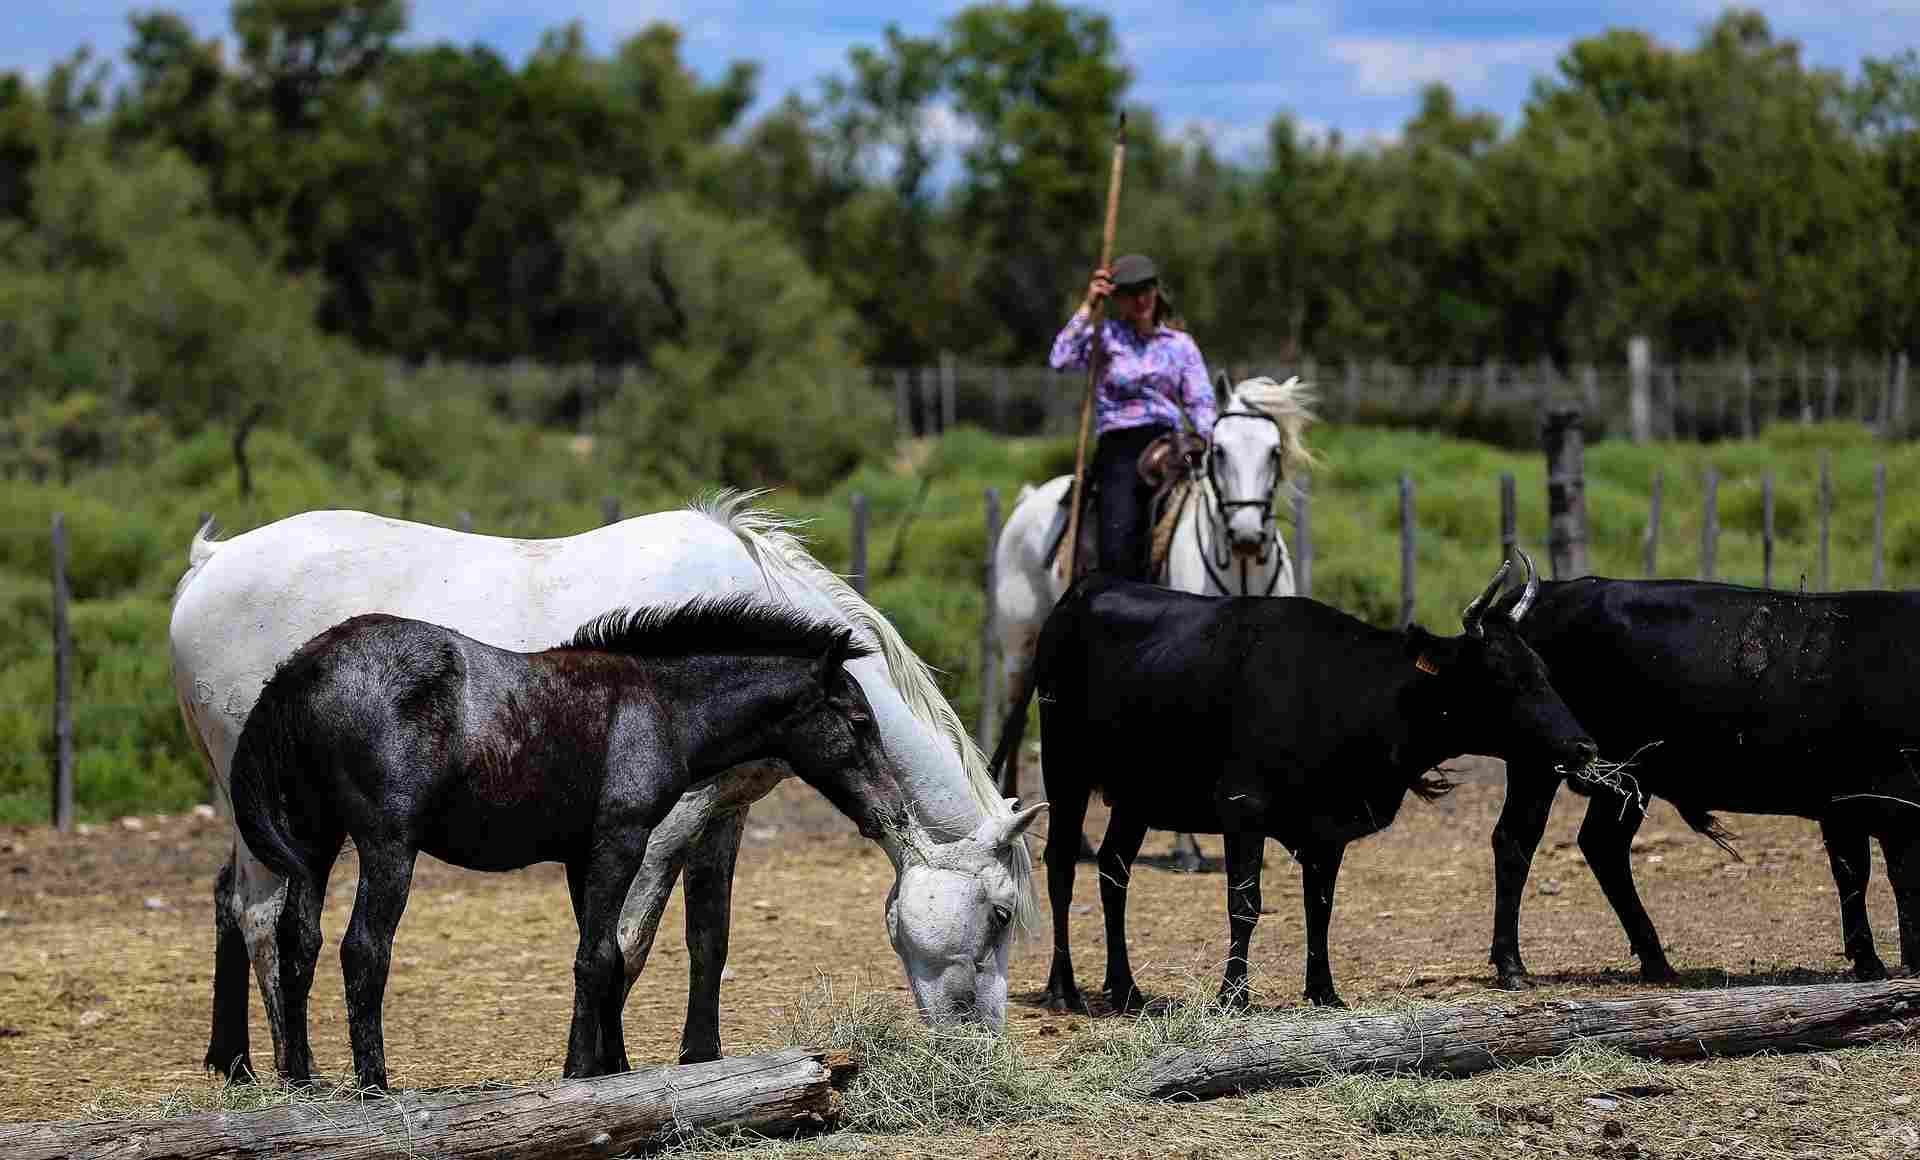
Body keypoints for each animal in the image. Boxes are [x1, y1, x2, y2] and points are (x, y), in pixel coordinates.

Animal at [172, 491, 1044, 1075]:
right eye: (1001, 913)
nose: (982, 1044)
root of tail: (209, 563)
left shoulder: (722, 814)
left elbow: (706, 938)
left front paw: (698, 1058)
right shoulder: (655, 829)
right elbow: (622, 945)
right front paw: (595, 1071)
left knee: (234, 904)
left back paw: (234, 1059)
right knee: (260, 917)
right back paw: (295, 1072)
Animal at [983, 549, 1597, 1014]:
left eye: (1542, 669)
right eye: (1499, 677)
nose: (1583, 747)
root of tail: (1089, 585)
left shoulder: (1328, 828)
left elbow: (1319, 904)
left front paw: (1324, 991)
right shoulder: (1243, 808)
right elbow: (1245, 902)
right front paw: (1233, 996)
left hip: (1135, 796)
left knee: (1114, 872)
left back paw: (1125, 988)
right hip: (1066, 771)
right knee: (1063, 867)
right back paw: (1064, 990)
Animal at [990, 376, 1320, 856]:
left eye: (1274, 451)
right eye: (1219, 451)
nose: (1246, 534)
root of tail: (1030, 501)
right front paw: (1187, 849)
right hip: (1022, 644)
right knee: (1015, 724)